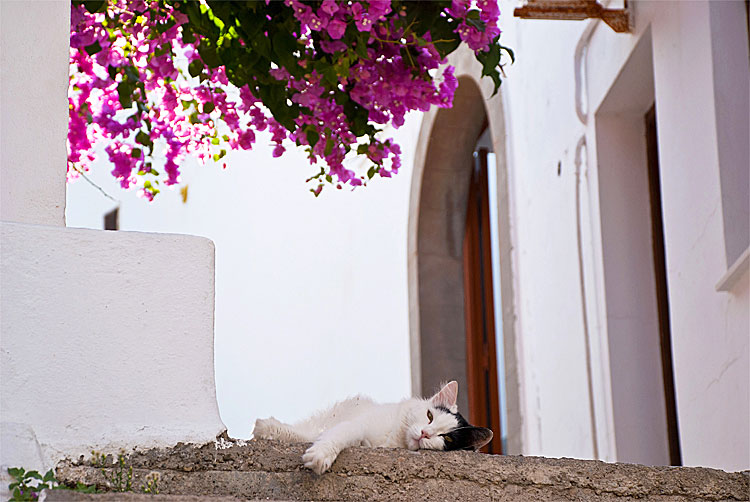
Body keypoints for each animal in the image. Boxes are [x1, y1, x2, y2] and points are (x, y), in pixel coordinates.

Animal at [253, 382, 494, 472]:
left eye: (447, 439)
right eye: (429, 416)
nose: (425, 433)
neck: (394, 440)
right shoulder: (357, 425)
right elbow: (334, 436)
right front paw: (319, 456)